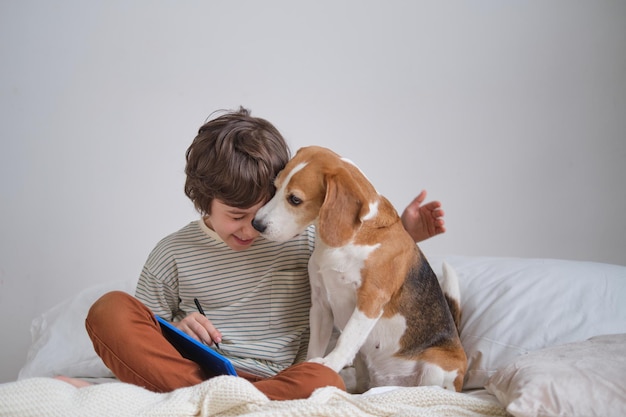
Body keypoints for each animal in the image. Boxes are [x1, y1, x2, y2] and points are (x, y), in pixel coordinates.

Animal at [252, 145, 464, 390]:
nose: (256, 224)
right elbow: (315, 345)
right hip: (364, 361)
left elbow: (346, 339)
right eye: (275, 188)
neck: (351, 238)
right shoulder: (320, 304)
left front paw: (328, 365)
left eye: (295, 199)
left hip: (436, 364)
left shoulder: (371, 300)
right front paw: (308, 367)